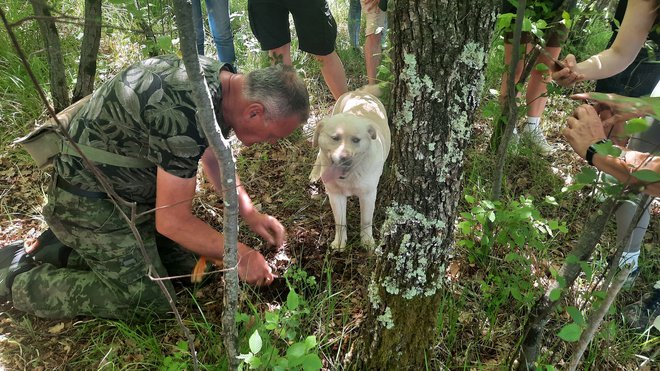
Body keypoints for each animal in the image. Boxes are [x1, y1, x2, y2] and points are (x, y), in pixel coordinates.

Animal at [310, 87, 392, 250]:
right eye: (335, 138)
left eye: (356, 140)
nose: (344, 158)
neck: (350, 176)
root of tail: (359, 91)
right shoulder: (335, 195)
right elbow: (340, 222)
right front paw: (340, 242)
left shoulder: (368, 195)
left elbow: (366, 221)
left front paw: (367, 241)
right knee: (318, 153)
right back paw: (314, 173)